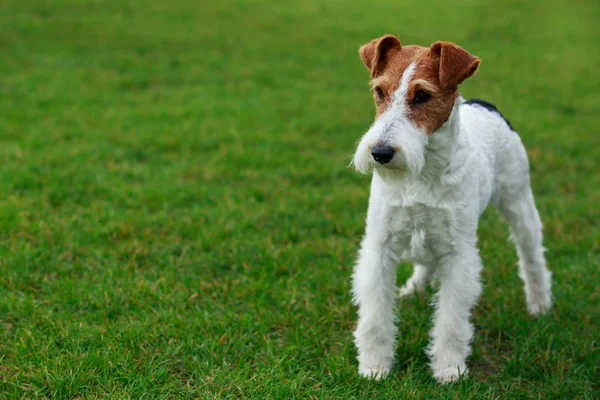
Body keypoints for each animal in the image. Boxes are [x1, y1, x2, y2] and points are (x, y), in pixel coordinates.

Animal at [352, 35, 552, 384]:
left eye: (422, 95)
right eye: (379, 91)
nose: (381, 153)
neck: (422, 170)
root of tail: (485, 105)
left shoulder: (459, 253)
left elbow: (451, 320)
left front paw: (449, 369)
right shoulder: (380, 244)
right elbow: (376, 316)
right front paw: (375, 367)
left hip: (518, 202)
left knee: (532, 256)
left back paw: (539, 304)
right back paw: (412, 289)